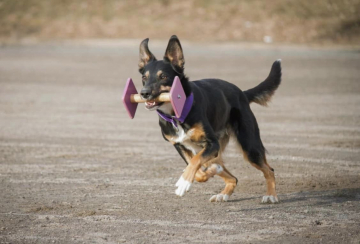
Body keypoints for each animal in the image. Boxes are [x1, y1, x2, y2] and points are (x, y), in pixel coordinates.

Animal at [138, 35, 282, 203]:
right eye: (144, 77)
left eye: (163, 76)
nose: (144, 93)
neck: (176, 113)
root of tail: (242, 93)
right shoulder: (181, 145)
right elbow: (197, 169)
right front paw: (200, 175)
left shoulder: (212, 144)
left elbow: (195, 162)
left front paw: (184, 182)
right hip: (215, 150)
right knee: (232, 176)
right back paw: (223, 191)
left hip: (249, 146)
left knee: (269, 170)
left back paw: (271, 195)